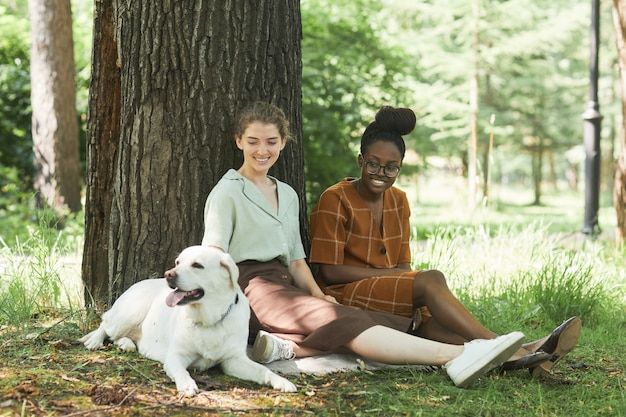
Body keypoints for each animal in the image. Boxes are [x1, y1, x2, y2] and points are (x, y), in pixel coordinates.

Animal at [78, 245, 298, 394]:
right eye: (178, 263)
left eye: (197, 265)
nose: (168, 274)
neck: (209, 319)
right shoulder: (176, 356)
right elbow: (182, 371)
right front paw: (187, 384)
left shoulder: (234, 360)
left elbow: (262, 370)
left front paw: (281, 381)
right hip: (130, 311)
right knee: (105, 324)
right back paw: (95, 341)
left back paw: (126, 344)